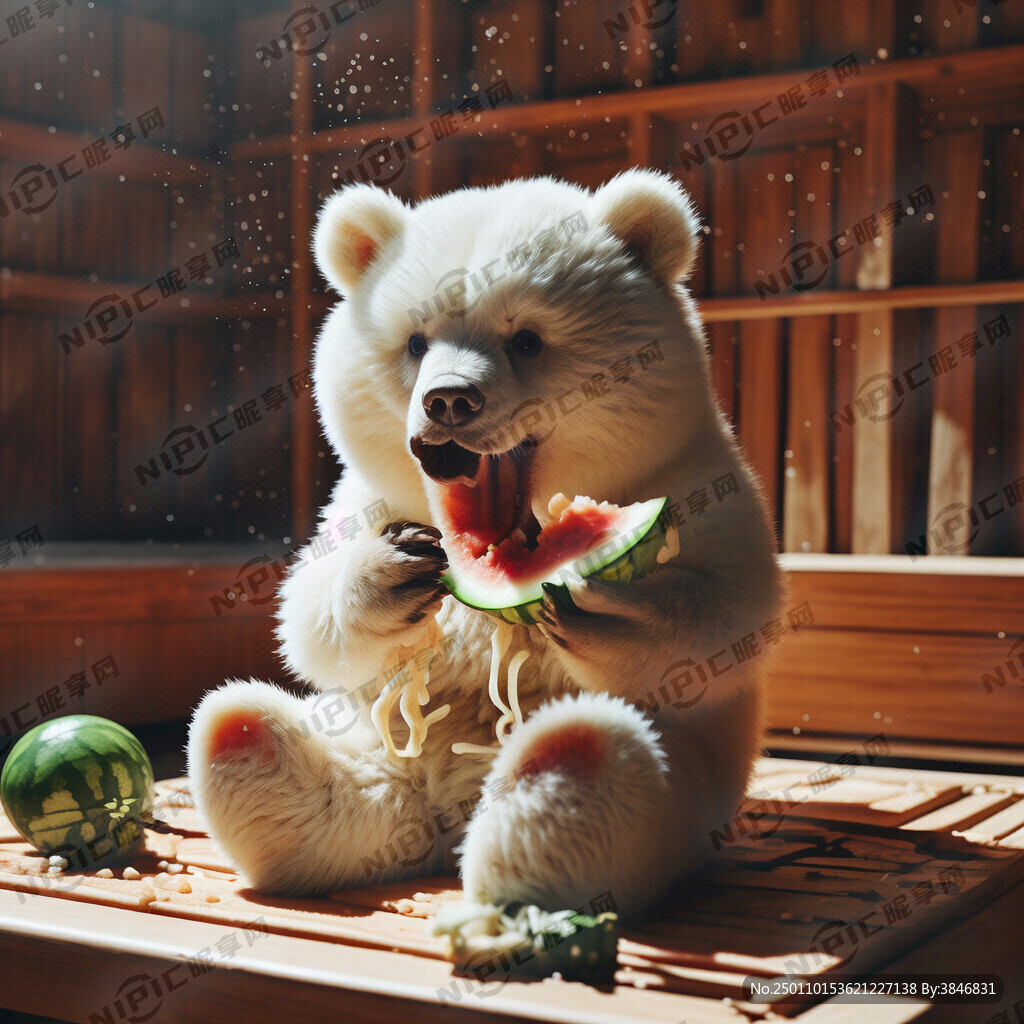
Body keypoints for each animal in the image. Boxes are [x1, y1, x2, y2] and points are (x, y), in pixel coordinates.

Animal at [186, 169, 783, 917]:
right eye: (416, 341)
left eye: (525, 339)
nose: (447, 401)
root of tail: (448, 814)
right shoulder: (370, 500)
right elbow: (308, 618)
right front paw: (387, 574)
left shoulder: (695, 479)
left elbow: (731, 614)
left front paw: (608, 609)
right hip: (382, 752)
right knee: (245, 733)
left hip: (684, 795)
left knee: (586, 759)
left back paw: (508, 873)